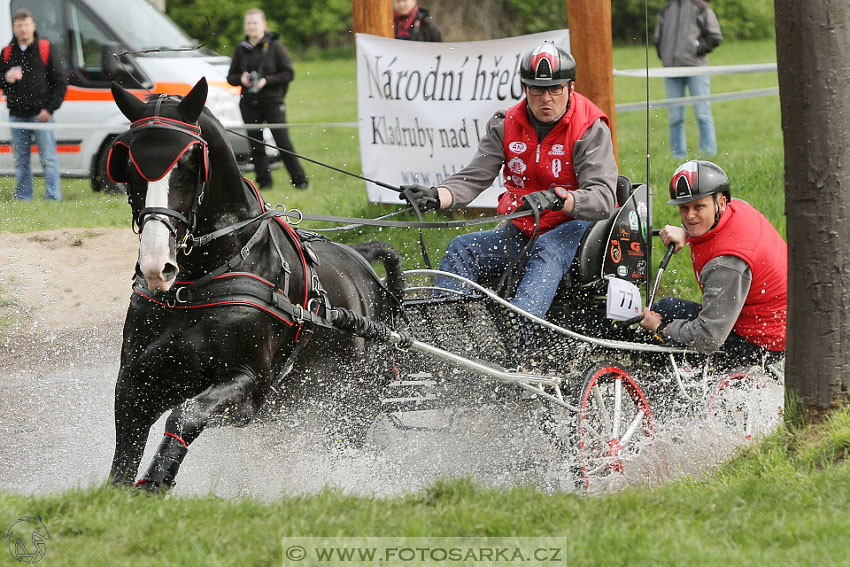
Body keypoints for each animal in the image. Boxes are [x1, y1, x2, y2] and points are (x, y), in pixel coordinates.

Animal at [106, 79, 404, 492]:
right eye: (128, 165)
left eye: (188, 164)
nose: (155, 265)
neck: (198, 283)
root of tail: (363, 265)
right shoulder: (137, 380)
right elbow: (124, 453)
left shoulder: (249, 385)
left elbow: (186, 415)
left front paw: (156, 478)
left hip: (351, 406)